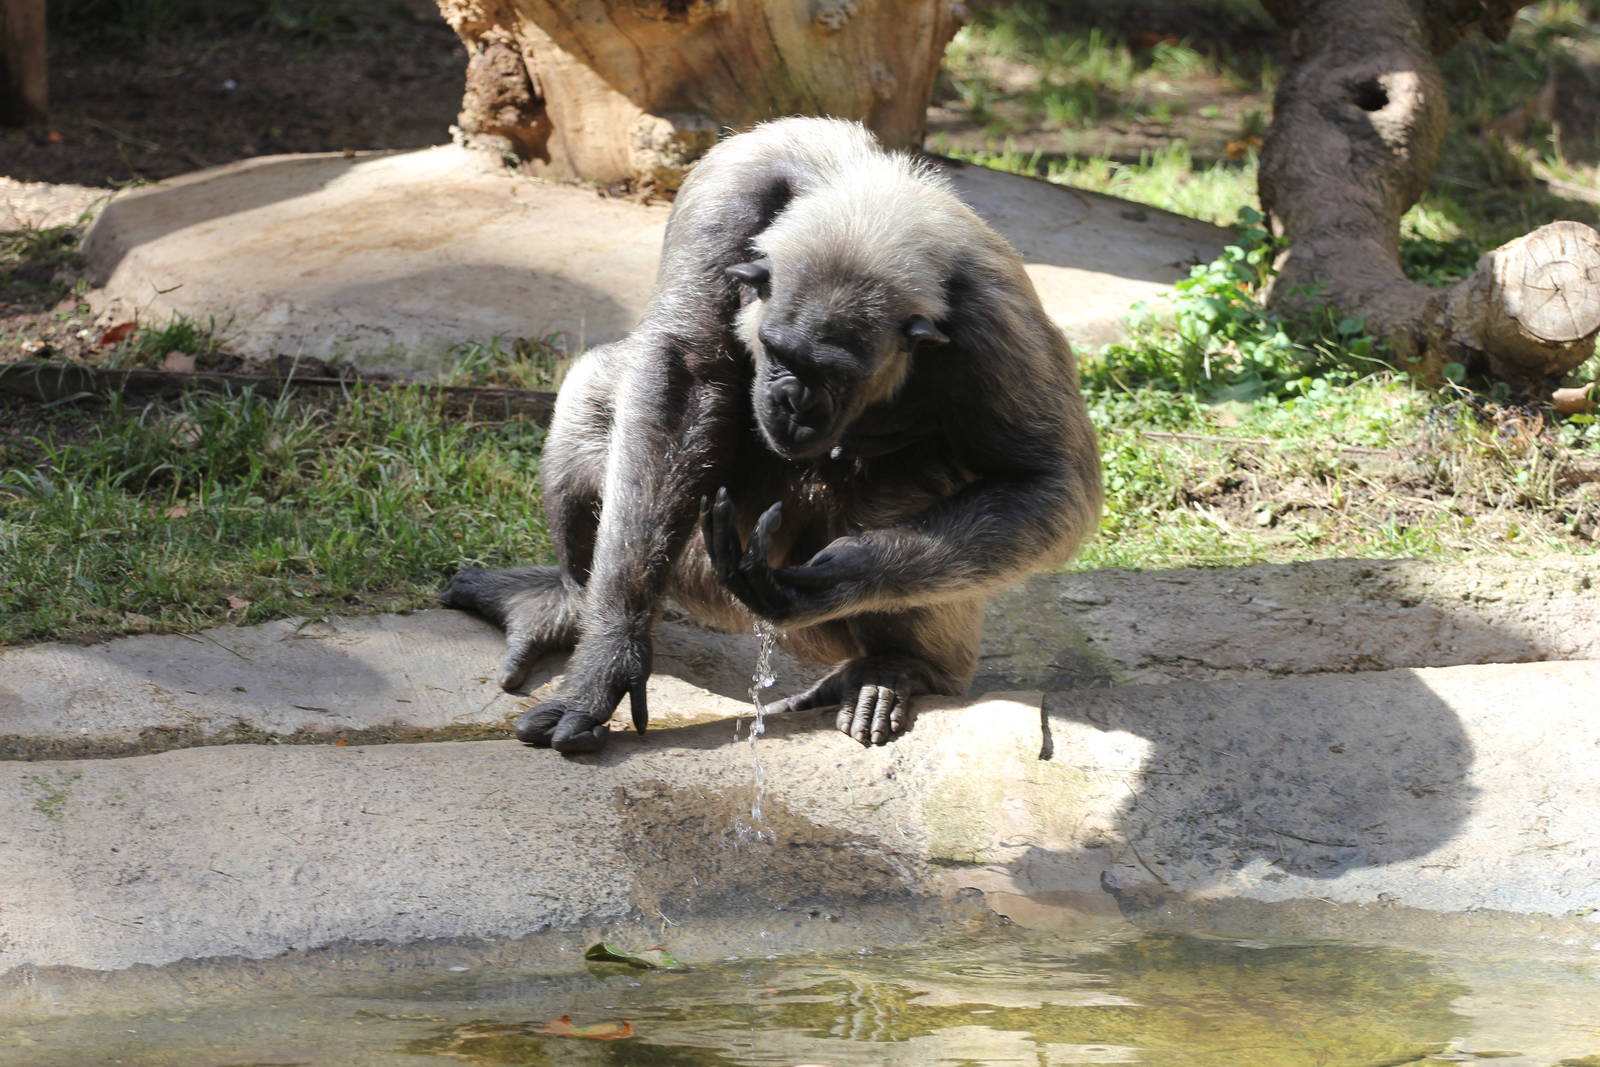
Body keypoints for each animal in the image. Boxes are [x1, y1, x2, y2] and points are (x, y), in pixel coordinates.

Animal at [441, 117, 1102, 754]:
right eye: (781, 353)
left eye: (835, 374)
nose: (794, 402)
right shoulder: (727, 192)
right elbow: (684, 372)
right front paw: (609, 660)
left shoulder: (1000, 318)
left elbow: (1046, 484)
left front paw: (833, 578)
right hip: (701, 578)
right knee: (597, 390)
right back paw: (561, 605)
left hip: (803, 627)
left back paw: (900, 668)